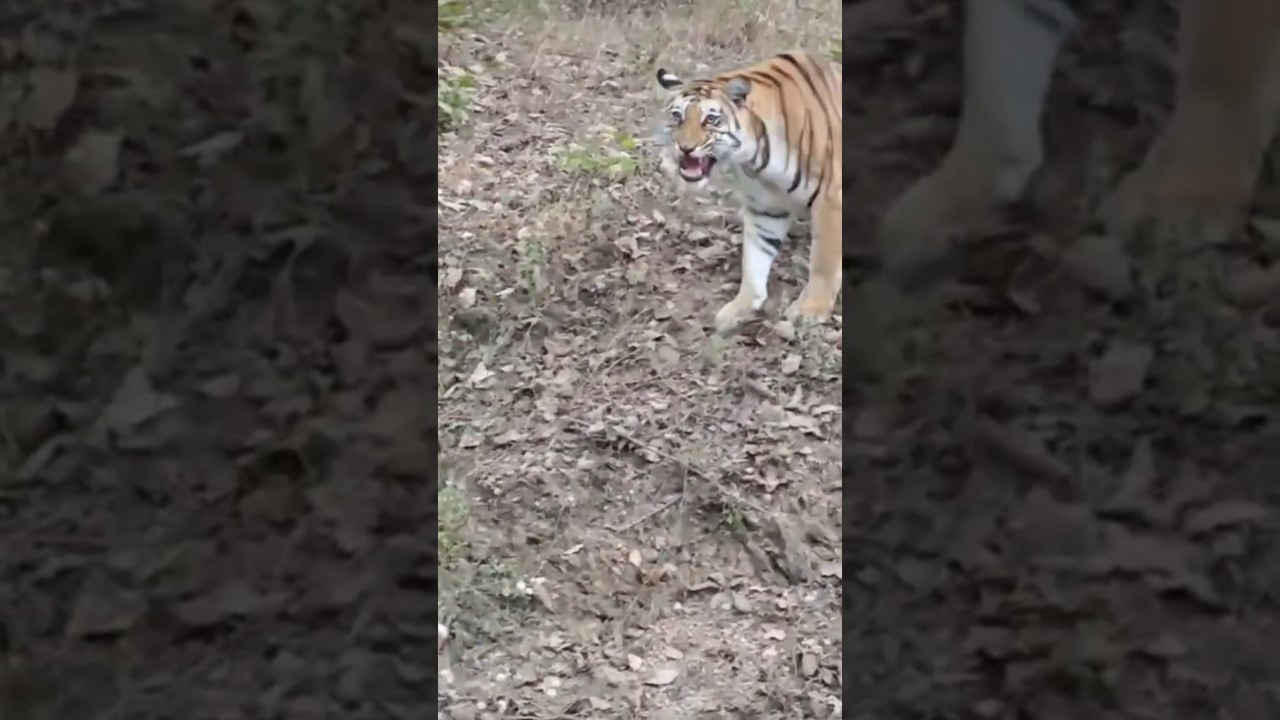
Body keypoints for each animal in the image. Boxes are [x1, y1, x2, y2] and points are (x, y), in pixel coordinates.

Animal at [653, 51, 843, 334]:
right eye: (677, 116)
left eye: (711, 119)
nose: (685, 148)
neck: (757, 159)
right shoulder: (765, 207)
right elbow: (755, 260)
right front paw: (739, 308)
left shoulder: (831, 197)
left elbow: (823, 260)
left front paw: (810, 310)